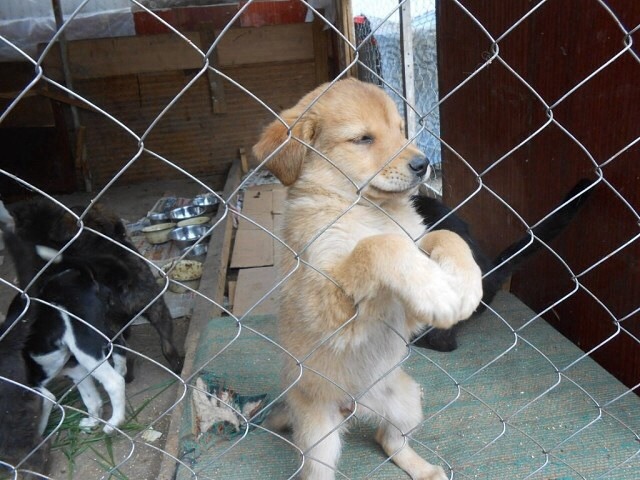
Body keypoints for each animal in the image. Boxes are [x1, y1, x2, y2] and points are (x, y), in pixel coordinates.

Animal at [10, 201, 184, 374]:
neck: (98, 239)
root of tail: (121, 278)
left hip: (109, 325)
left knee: (122, 351)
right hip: (157, 307)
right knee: (166, 344)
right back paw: (177, 365)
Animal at [252, 77, 482, 478]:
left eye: (401, 130)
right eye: (363, 139)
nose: (423, 164)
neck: (370, 210)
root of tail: (355, 407)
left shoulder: (410, 292)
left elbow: (442, 236)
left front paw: (464, 283)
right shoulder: (325, 307)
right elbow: (378, 246)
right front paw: (436, 291)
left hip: (405, 401)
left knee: (388, 439)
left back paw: (423, 469)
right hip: (319, 435)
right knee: (318, 470)